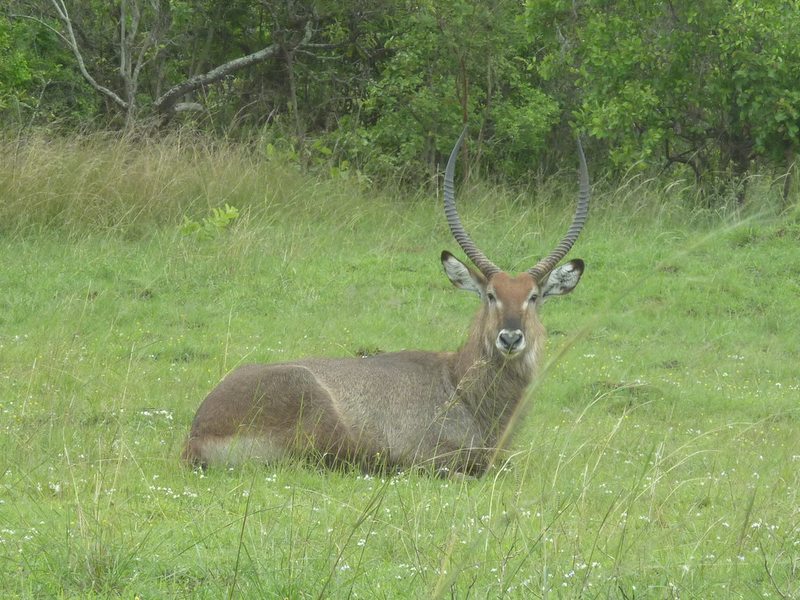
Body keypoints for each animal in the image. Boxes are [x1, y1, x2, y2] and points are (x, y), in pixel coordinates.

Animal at [182, 130, 589, 476]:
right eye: (491, 295)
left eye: (533, 297)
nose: (510, 338)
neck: (459, 385)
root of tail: (197, 431)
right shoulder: (433, 459)